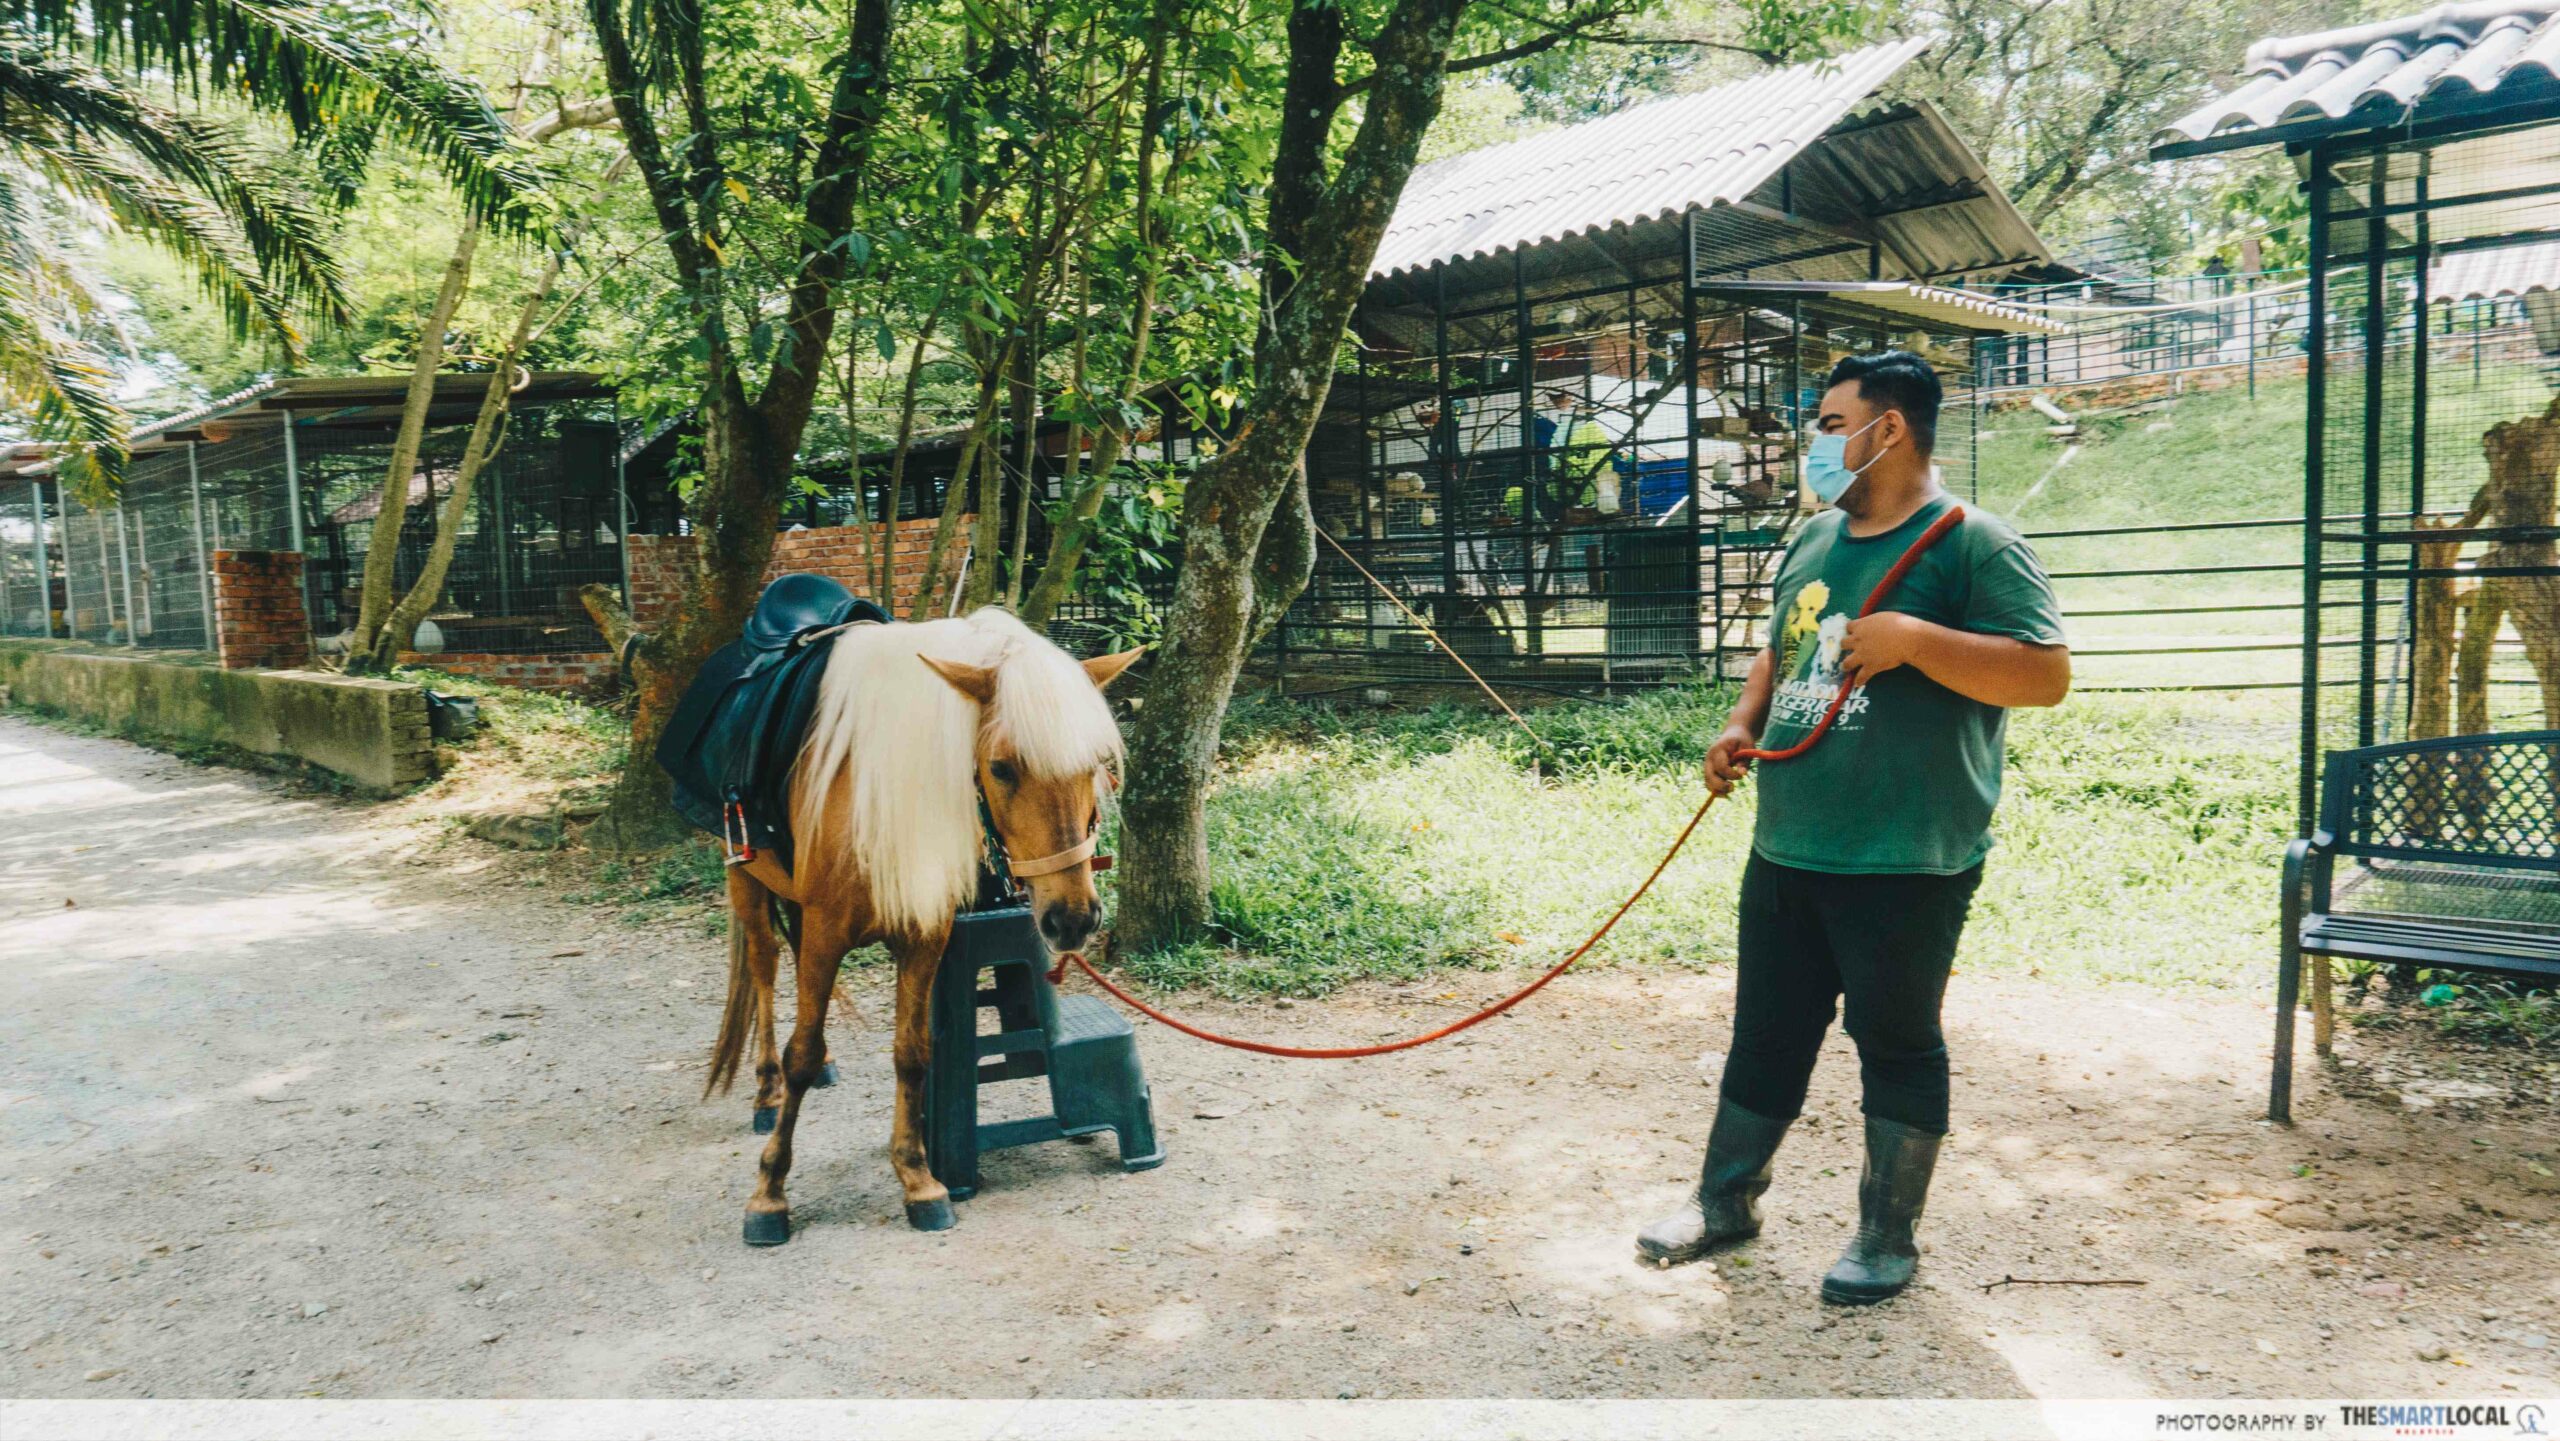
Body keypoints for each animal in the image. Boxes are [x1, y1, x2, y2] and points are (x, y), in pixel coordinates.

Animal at [706, 604, 1136, 1243]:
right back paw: (765, 1091)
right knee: (764, 965)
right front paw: (769, 1192)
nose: (1072, 919)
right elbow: (801, 1051)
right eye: (1000, 768)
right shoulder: (829, 930)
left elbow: (912, 1052)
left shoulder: (924, 934)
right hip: (746, 881)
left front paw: (917, 1178)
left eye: (1096, 766)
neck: (876, 794)